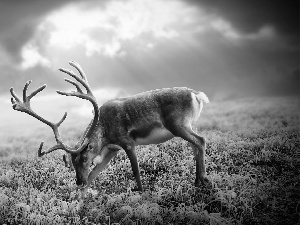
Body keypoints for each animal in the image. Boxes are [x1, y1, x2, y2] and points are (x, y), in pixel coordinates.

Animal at [10, 60, 210, 194]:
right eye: (72, 162)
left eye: (84, 158)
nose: (78, 182)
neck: (105, 133)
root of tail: (197, 94)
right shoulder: (112, 149)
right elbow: (93, 175)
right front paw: (81, 198)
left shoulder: (127, 142)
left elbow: (136, 172)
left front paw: (142, 193)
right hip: (188, 125)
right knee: (195, 145)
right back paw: (198, 180)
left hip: (178, 125)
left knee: (200, 141)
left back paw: (201, 181)